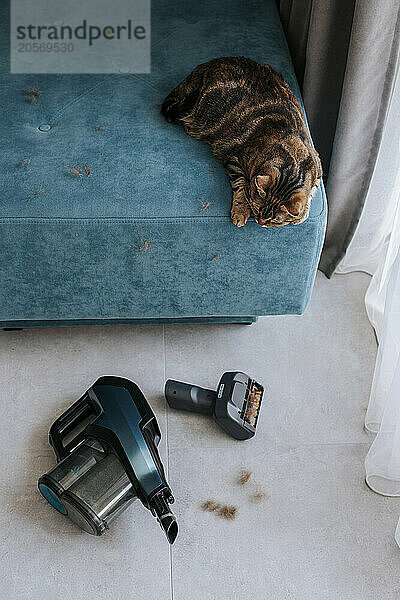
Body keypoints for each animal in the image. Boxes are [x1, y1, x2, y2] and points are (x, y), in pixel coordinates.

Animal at [161, 56, 320, 227]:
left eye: (274, 222)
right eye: (256, 209)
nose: (260, 222)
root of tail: (209, 64)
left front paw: (302, 214)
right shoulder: (234, 158)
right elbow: (241, 186)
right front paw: (241, 211)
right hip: (202, 114)